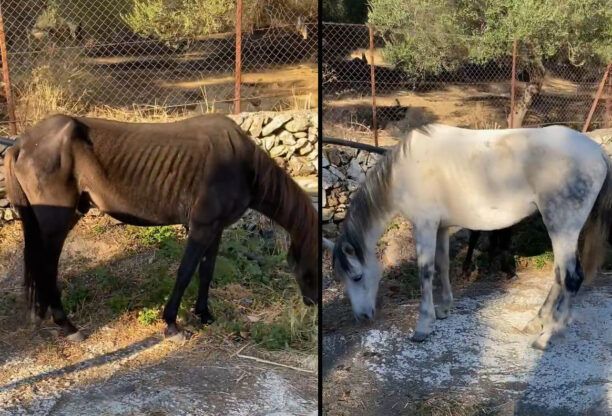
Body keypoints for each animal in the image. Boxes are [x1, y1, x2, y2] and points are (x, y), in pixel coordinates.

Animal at [3, 112, 320, 340]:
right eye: (313, 266)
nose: (314, 304)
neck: (241, 164)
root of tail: (21, 143)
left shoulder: (216, 229)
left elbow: (206, 272)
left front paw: (205, 315)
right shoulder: (201, 227)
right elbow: (185, 272)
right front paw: (171, 324)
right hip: (56, 224)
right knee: (47, 267)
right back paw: (67, 327)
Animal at [326, 124, 612, 352]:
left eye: (357, 276)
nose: (362, 317)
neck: (406, 171)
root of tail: (597, 151)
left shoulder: (425, 225)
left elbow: (425, 272)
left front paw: (423, 326)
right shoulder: (441, 227)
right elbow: (442, 265)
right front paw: (444, 309)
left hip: (562, 227)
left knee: (571, 278)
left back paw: (548, 334)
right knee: (558, 276)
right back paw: (536, 321)